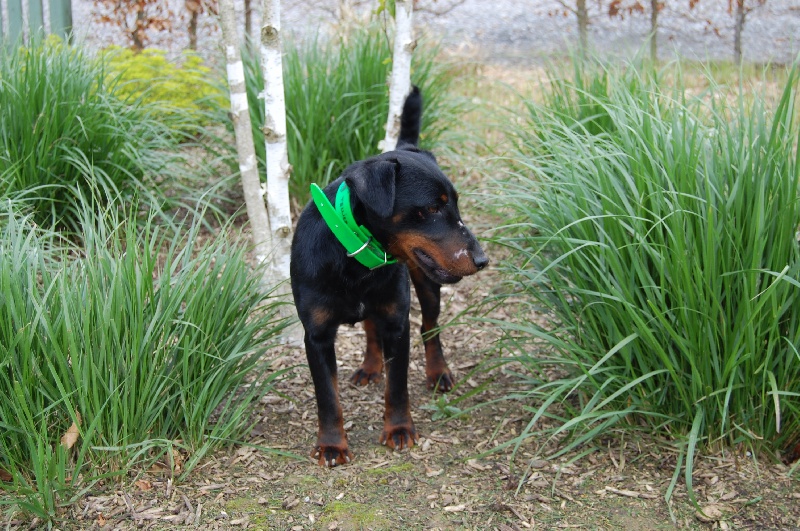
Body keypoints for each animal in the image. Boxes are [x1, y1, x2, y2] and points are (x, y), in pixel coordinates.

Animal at [290, 86, 484, 466]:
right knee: (369, 326)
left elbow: (398, 385)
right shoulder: (317, 335)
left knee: (430, 328)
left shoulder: (397, 322)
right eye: (433, 207)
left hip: (425, 285)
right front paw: (332, 445)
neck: (353, 258)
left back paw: (438, 372)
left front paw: (399, 429)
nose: (481, 258)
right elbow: (328, 397)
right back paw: (370, 366)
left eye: (455, 204)